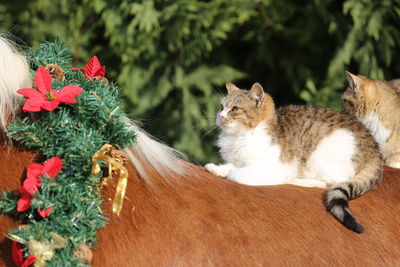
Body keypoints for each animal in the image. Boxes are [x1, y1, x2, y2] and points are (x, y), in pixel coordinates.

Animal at [205, 82, 382, 233]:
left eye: (234, 109)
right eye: (221, 107)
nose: (220, 116)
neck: (239, 137)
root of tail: (375, 149)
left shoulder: (273, 169)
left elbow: (236, 174)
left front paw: (229, 174)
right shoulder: (236, 160)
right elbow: (230, 166)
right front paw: (216, 169)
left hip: (321, 154)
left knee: (332, 182)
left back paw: (297, 180)